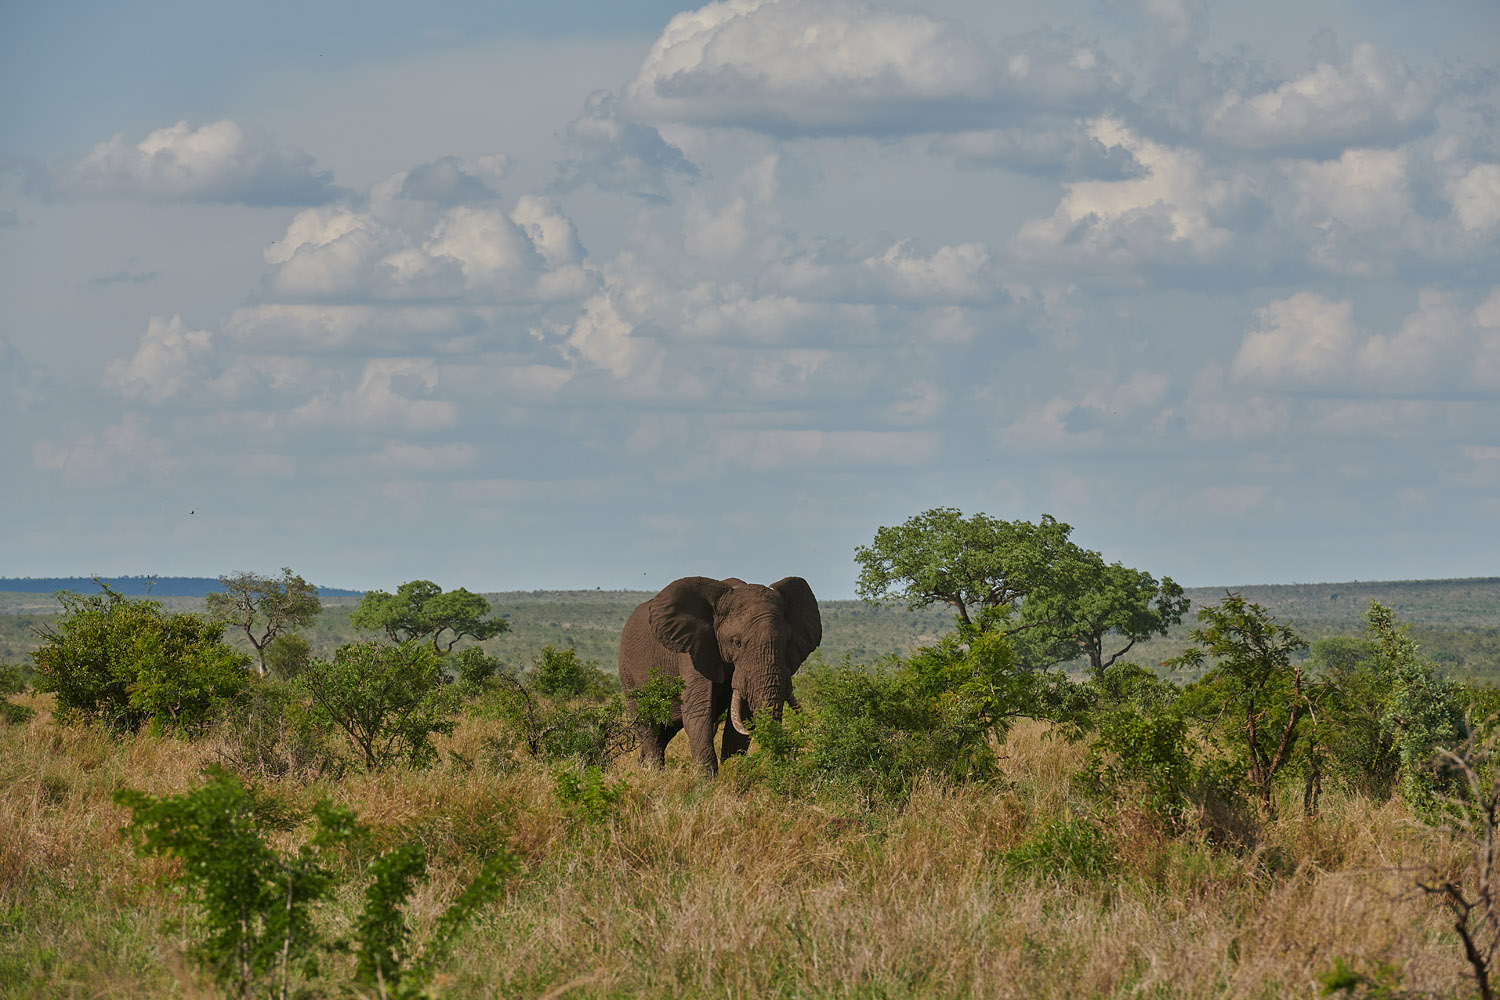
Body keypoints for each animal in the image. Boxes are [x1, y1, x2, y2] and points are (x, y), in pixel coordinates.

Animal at [618, 575, 822, 779]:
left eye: (786, 642)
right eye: (736, 642)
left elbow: (742, 716)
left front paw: (733, 772)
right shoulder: (693, 653)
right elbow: (698, 713)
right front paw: (705, 782)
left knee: (666, 730)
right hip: (627, 674)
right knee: (649, 726)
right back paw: (653, 774)